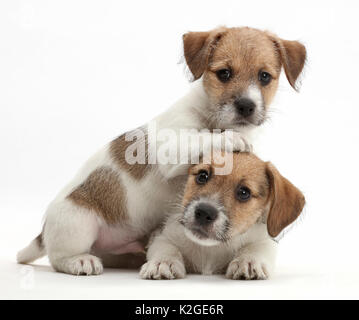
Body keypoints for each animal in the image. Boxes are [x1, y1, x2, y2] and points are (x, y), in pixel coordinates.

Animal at [139, 151, 306, 278]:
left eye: (244, 193)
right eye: (202, 176)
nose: (204, 212)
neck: (211, 249)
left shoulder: (263, 240)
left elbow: (255, 248)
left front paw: (248, 261)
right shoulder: (163, 236)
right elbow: (167, 247)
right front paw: (163, 262)